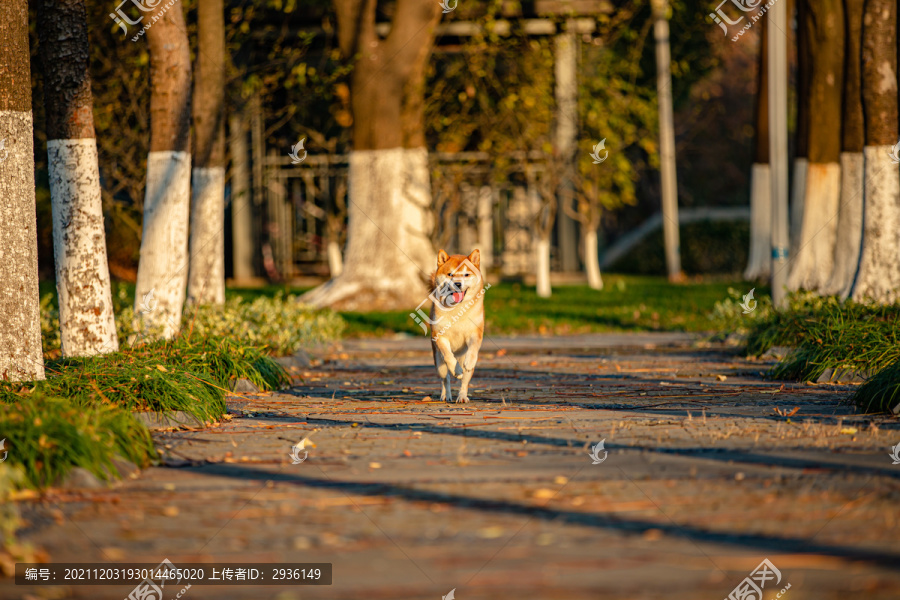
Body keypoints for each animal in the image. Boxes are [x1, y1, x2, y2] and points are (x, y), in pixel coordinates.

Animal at [428, 248, 486, 404]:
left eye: (466, 274)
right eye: (450, 274)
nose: (458, 284)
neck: (456, 308)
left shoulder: (475, 333)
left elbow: (473, 349)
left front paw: (469, 361)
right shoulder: (440, 335)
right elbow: (448, 356)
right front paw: (457, 370)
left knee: (465, 381)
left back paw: (462, 396)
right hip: (438, 363)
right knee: (445, 379)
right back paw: (446, 395)